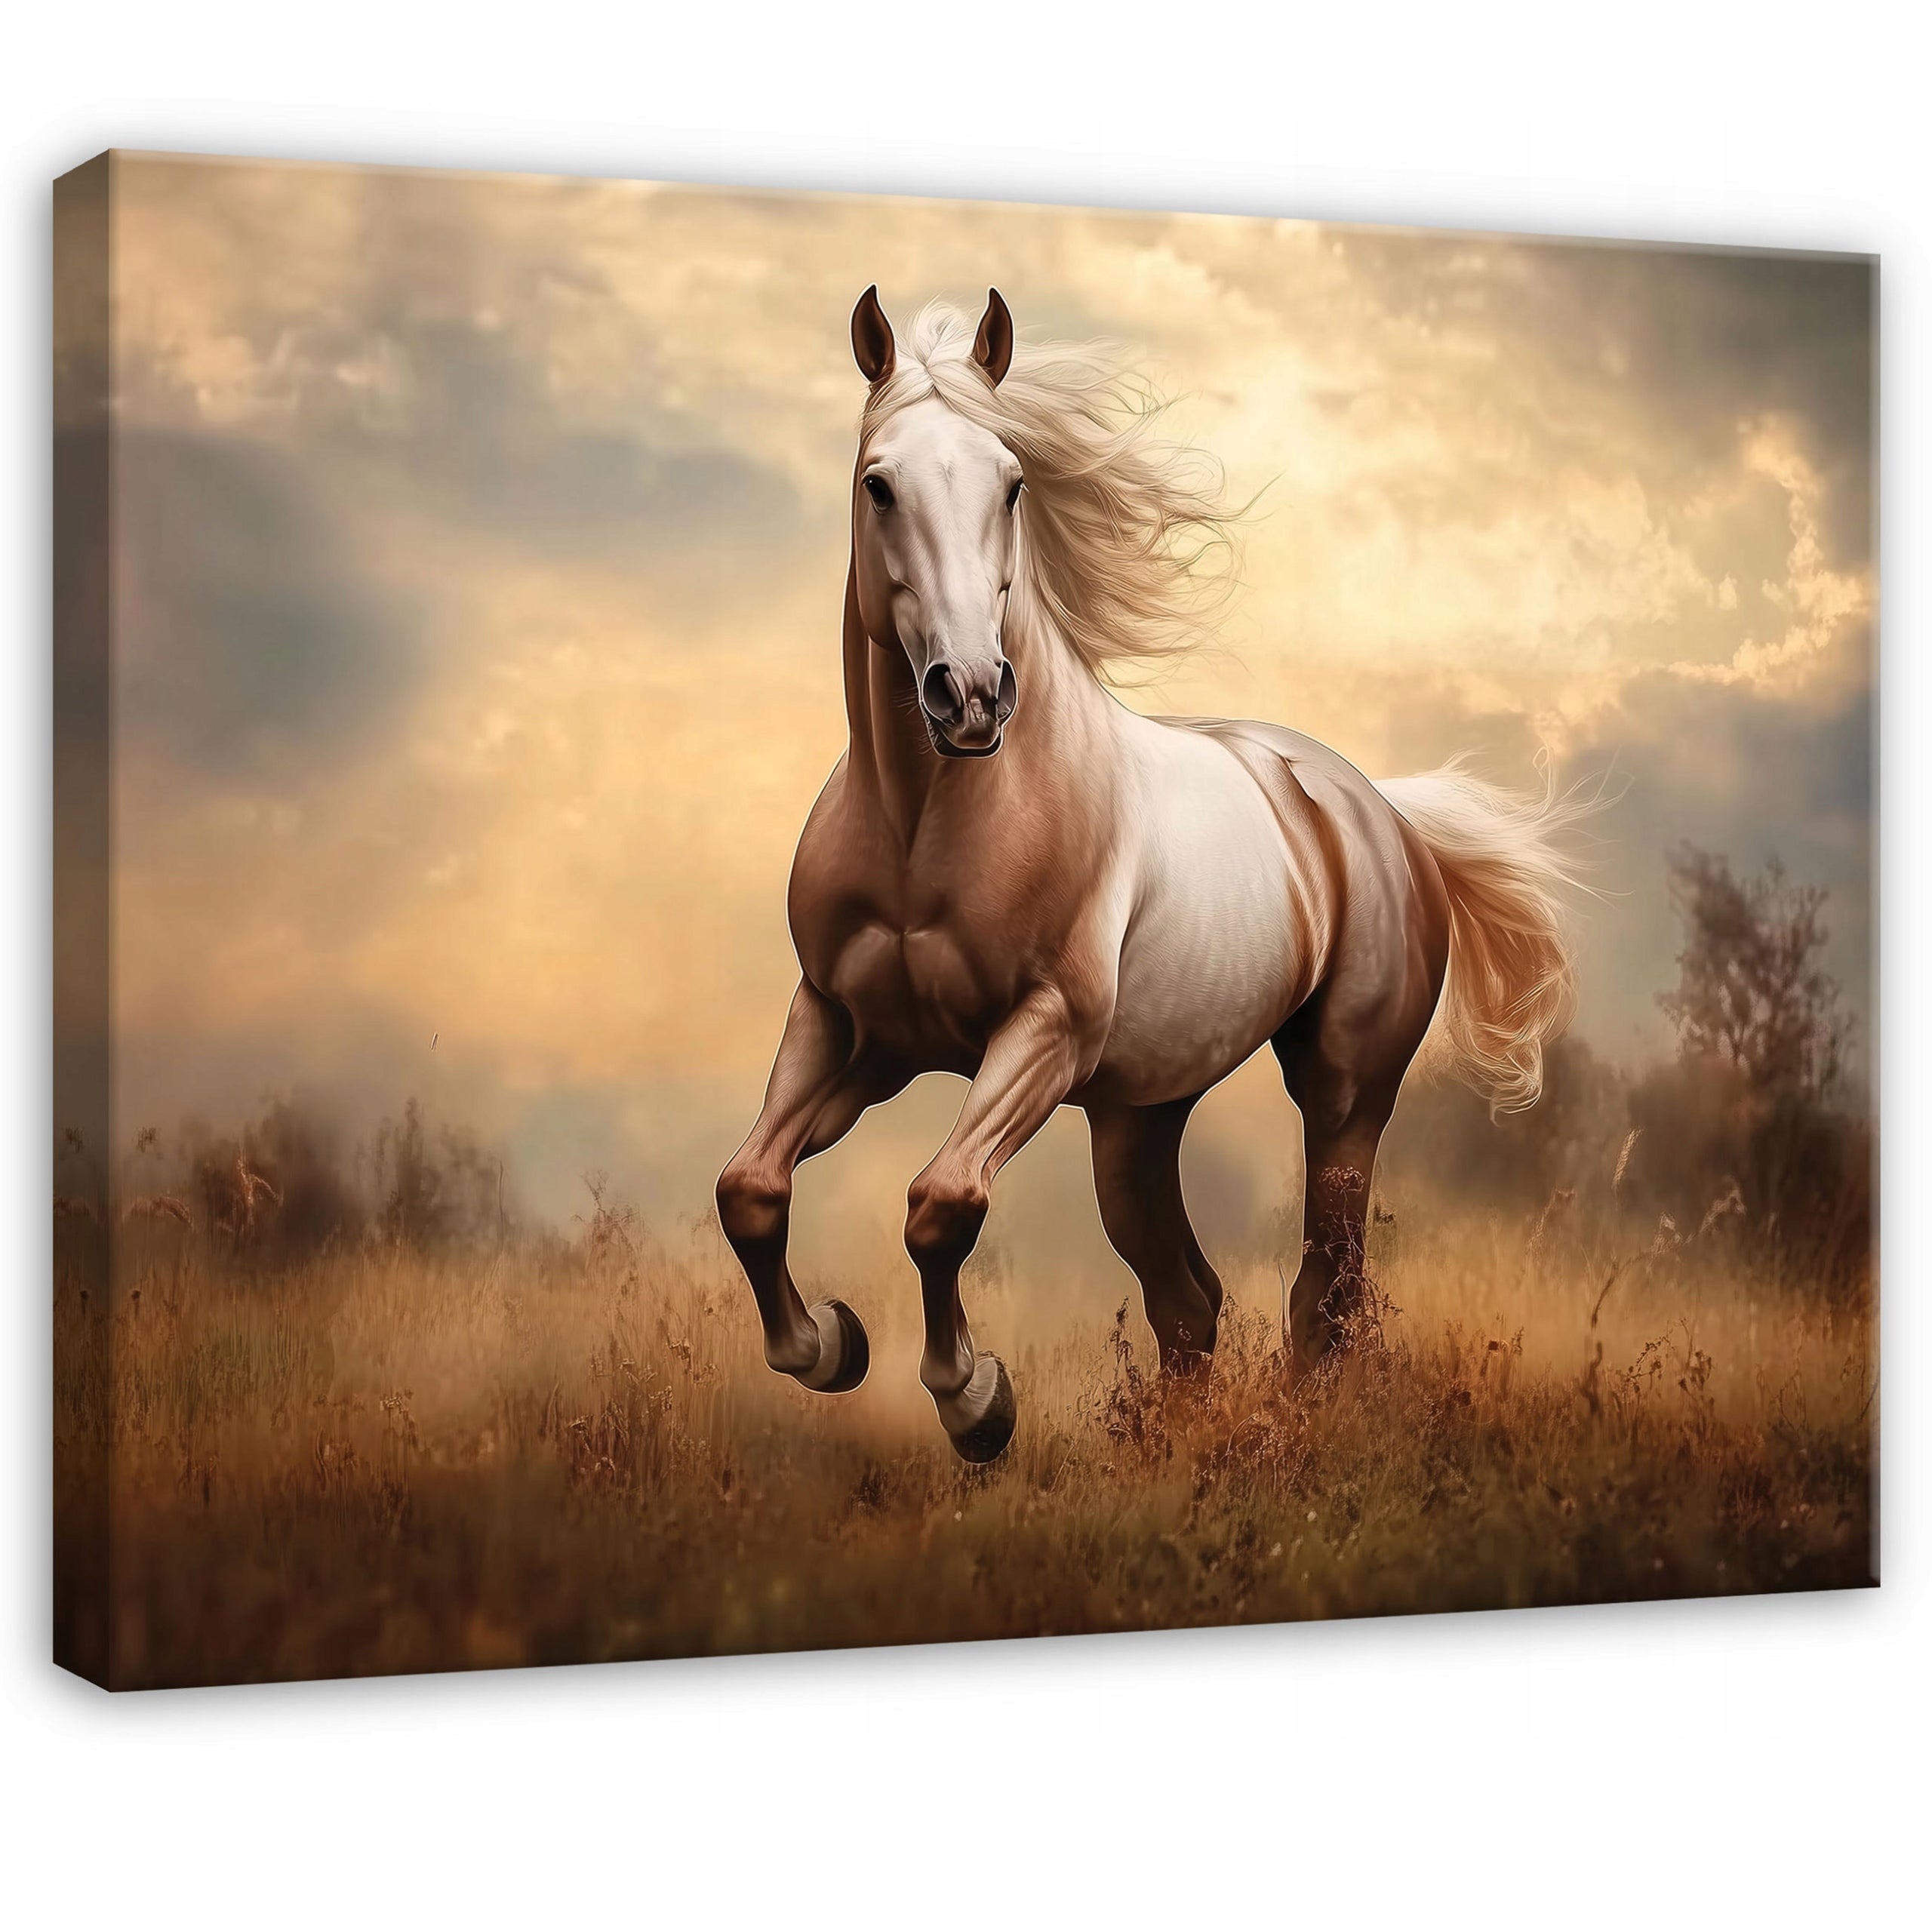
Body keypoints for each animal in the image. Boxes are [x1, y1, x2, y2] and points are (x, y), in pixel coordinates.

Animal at [716, 286, 1591, 1463]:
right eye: (878, 484)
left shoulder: (1042, 1032)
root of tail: (1380, 810)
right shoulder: (851, 1027)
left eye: (1012, 482)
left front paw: (976, 1401)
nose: (970, 696)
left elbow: (942, 1204)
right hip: (1137, 1119)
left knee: (1325, 1289)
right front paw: (831, 1345)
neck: (924, 825)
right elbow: (752, 1188)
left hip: (1342, 1091)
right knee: (1189, 1300)